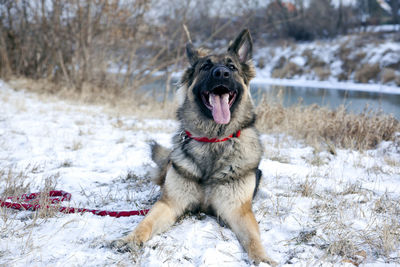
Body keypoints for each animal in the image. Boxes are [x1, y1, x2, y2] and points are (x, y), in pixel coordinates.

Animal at [111, 28, 276, 266]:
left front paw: (263, 258)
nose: (221, 73)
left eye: (232, 67)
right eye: (205, 67)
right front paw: (130, 239)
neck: (213, 140)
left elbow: (253, 239)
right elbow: (146, 221)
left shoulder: (239, 211)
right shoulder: (170, 203)